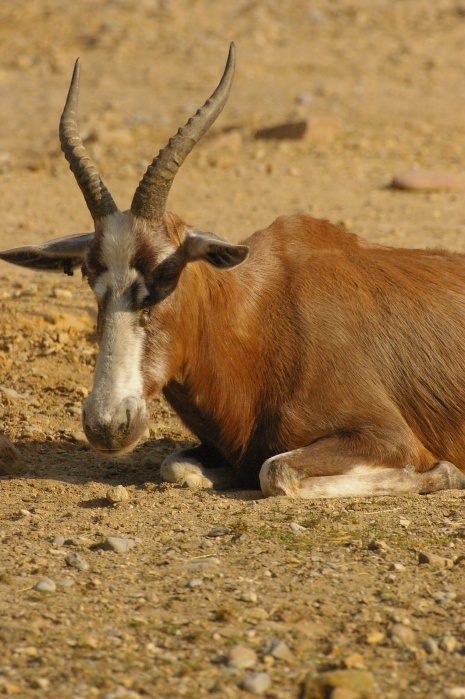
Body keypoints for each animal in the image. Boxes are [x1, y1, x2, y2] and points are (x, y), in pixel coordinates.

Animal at [2, 43, 464, 500]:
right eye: (87, 274)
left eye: (167, 273)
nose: (109, 423)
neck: (262, 318)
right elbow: (180, 466)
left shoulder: (389, 438)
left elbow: (275, 471)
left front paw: (447, 474)